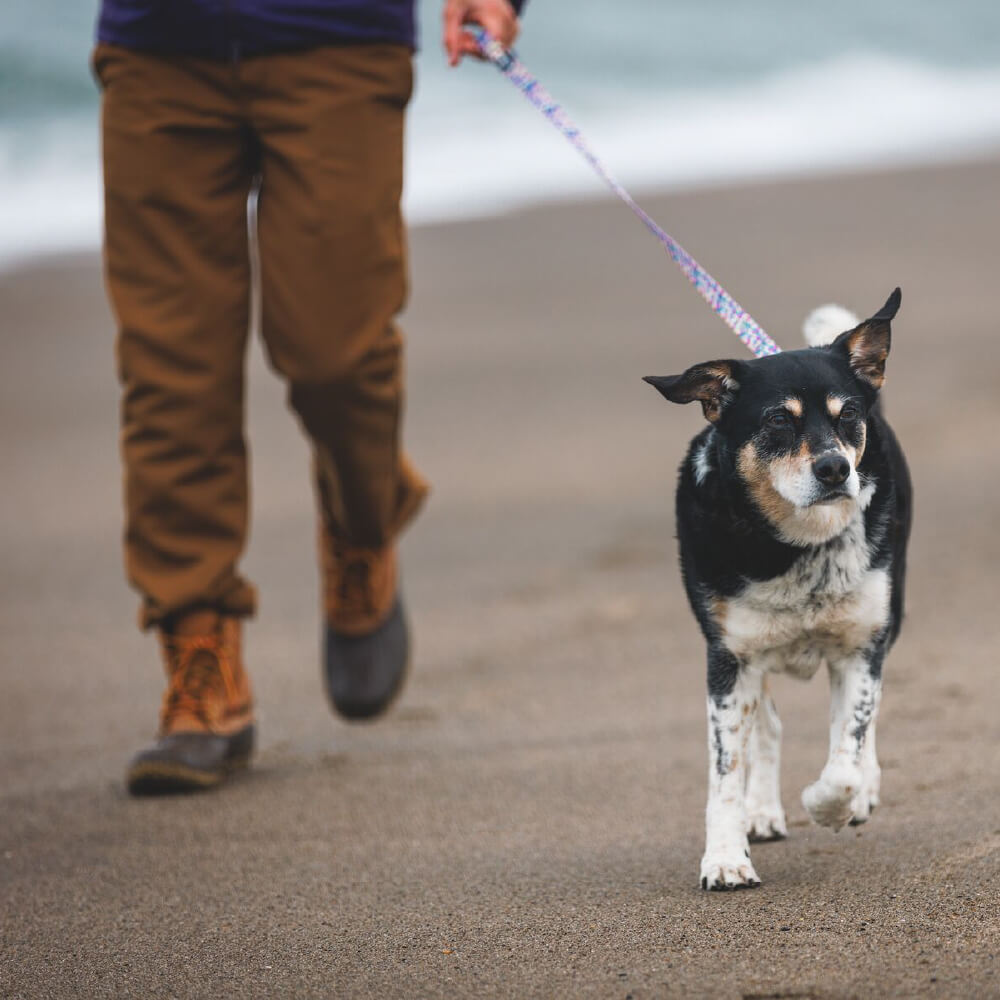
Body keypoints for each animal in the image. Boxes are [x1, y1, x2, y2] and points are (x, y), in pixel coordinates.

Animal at [644, 290, 912, 892]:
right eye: (776, 419)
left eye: (848, 414)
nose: (835, 468)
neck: (795, 544)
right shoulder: (729, 658)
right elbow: (725, 772)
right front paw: (726, 857)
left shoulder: (861, 645)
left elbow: (845, 750)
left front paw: (833, 802)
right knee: (765, 725)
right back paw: (761, 812)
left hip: (887, 617)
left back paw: (864, 788)